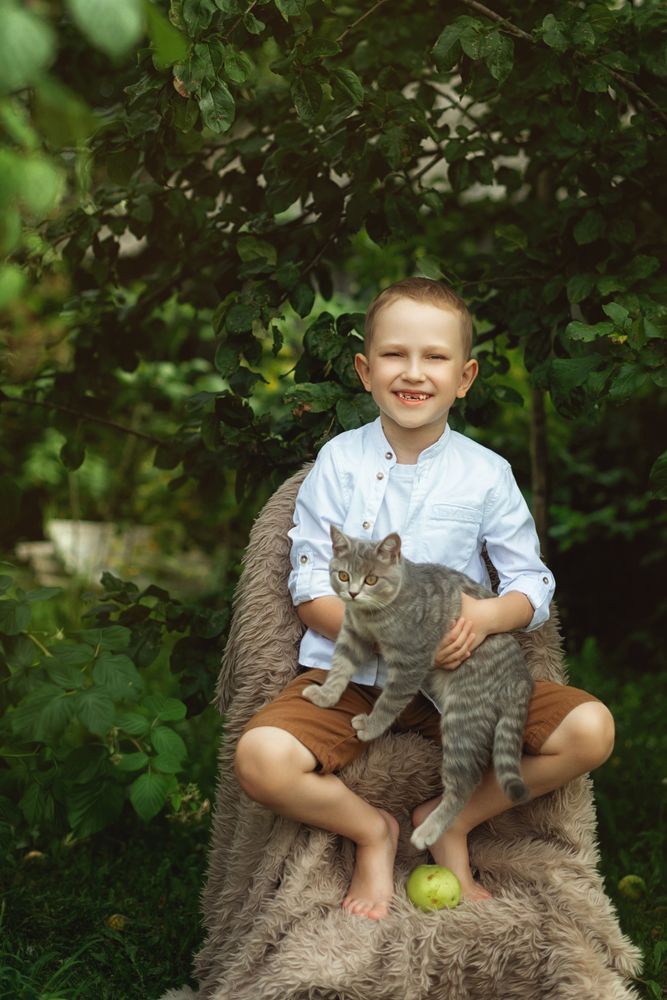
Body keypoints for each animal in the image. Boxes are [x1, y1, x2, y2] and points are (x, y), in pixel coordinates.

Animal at [302, 526, 534, 850]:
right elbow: (339, 669)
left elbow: (388, 701)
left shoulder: (411, 661)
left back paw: (429, 830)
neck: (372, 615)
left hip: (462, 716)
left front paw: (371, 726)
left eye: (371, 579)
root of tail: (520, 678)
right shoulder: (352, 635)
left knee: (466, 782)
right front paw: (325, 695)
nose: (353, 592)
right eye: (344, 575)